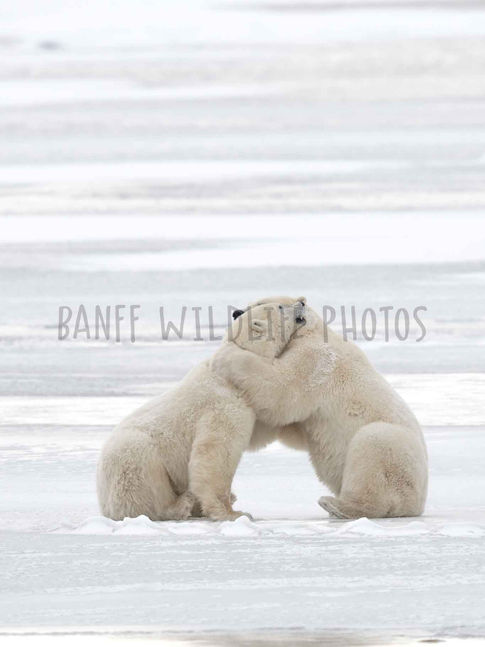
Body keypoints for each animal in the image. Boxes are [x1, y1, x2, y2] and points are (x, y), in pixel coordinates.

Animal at [96, 301, 306, 522]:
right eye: (281, 306)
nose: (301, 303)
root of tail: (103, 503)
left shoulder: (248, 396)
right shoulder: (223, 404)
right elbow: (217, 452)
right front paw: (233, 513)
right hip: (131, 458)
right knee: (146, 486)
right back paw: (181, 505)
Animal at [212, 296, 428, 519]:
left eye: (258, 305)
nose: (235, 313)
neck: (313, 330)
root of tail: (418, 505)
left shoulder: (317, 359)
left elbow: (282, 388)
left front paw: (225, 355)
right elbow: (283, 422)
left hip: (399, 458)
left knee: (374, 443)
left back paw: (335, 504)